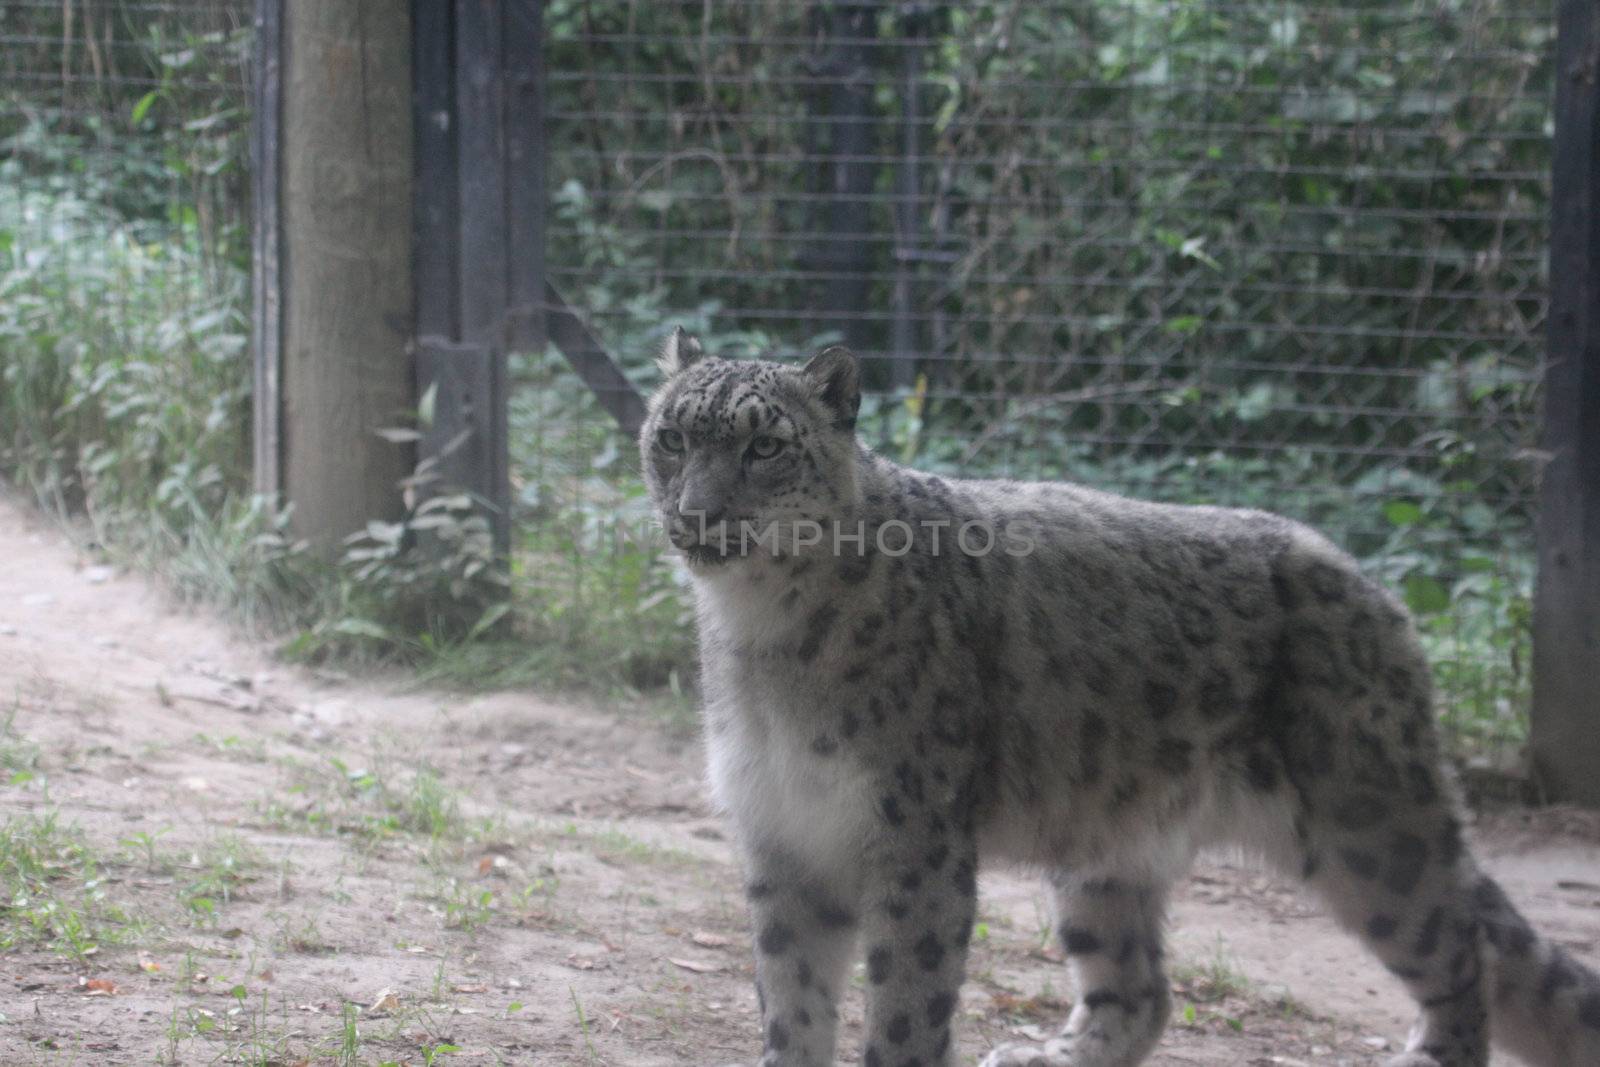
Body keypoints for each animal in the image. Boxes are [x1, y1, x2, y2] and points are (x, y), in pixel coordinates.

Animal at [636, 327, 1600, 1067]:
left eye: (764, 445)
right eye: (673, 437)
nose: (697, 510)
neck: (761, 632)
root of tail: (1376, 591)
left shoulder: (912, 837)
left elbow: (905, 1002)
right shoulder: (782, 830)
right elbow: (791, 996)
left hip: (1369, 827)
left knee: (1461, 951)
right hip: (1105, 844)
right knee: (1138, 988)